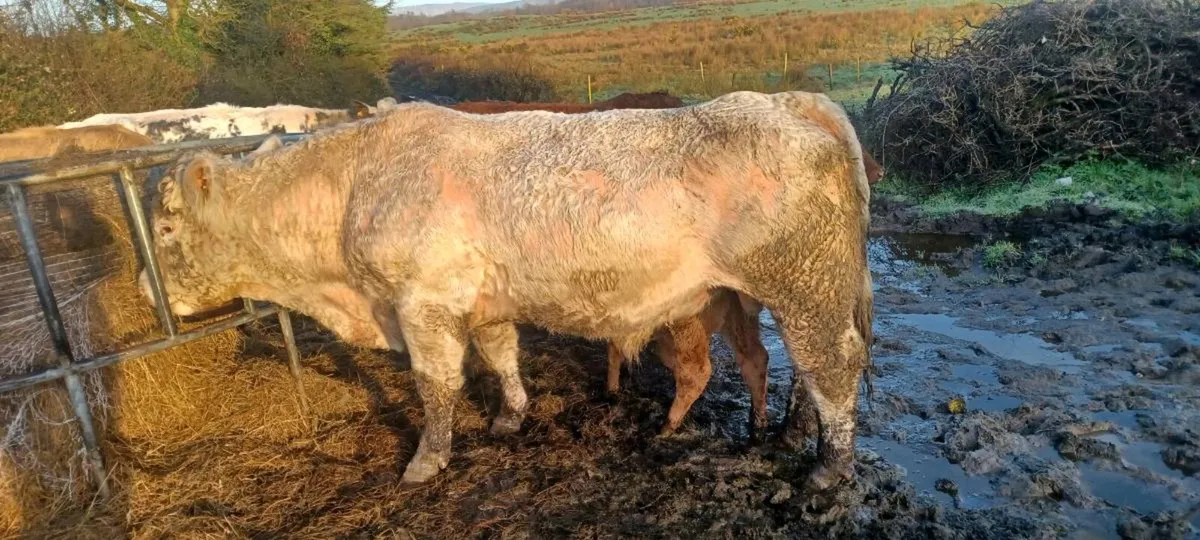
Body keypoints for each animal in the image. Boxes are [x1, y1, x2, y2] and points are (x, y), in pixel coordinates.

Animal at [137, 90, 874, 490]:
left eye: (166, 225)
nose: (145, 290)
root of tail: (785, 101)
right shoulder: (480, 301)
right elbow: (500, 356)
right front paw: (511, 416)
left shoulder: (423, 303)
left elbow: (435, 387)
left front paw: (426, 460)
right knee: (803, 368)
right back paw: (789, 434)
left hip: (804, 285)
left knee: (831, 365)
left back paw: (830, 465)